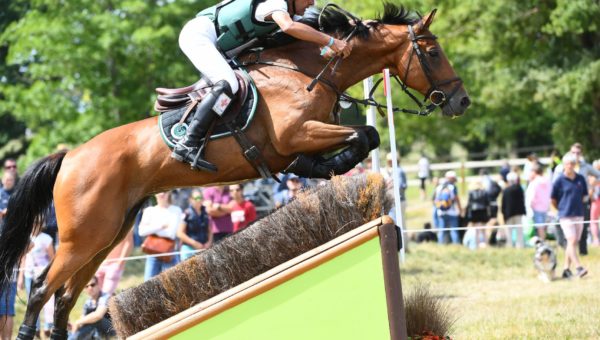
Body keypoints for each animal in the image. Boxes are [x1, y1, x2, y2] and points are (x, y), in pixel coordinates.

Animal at [0, 3, 468, 340]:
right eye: (431, 53)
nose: (461, 102)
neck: (308, 71)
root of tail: (71, 155)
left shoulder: (312, 134)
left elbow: (365, 136)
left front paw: (324, 169)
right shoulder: (296, 134)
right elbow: (365, 134)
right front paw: (326, 167)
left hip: (107, 235)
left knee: (65, 297)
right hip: (83, 236)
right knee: (41, 287)